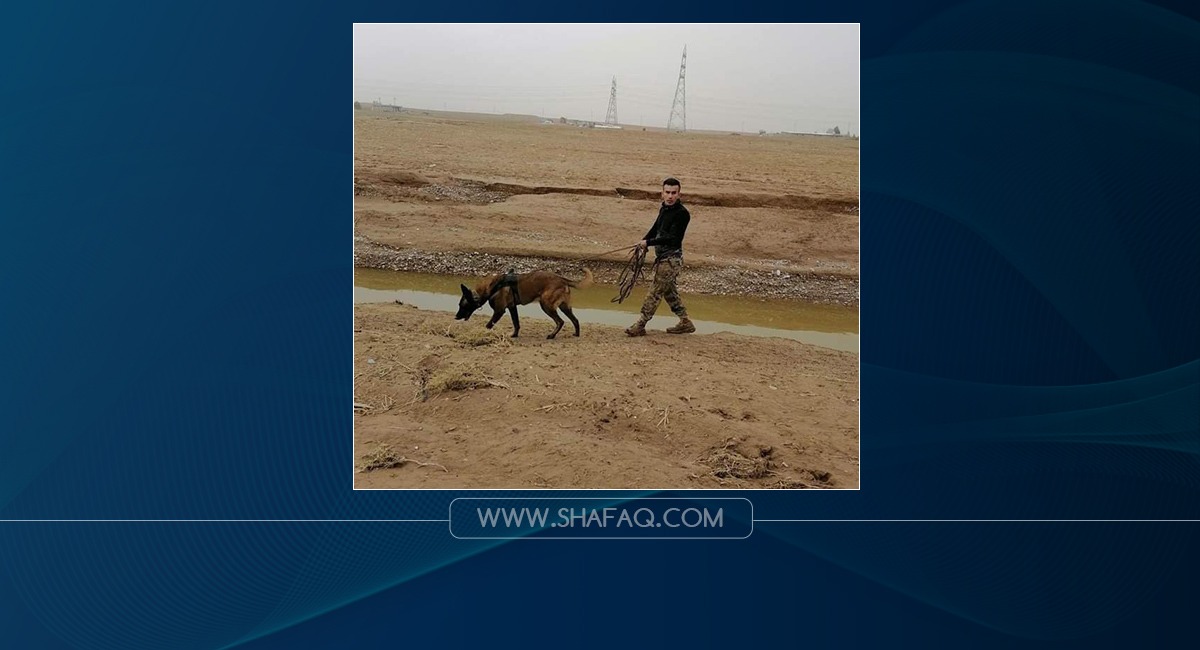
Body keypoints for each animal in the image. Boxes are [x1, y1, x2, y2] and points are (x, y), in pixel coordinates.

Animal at [456, 269, 592, 340]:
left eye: (463, 306)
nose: (456, 317)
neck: (491, 287)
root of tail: (562, 279)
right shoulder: (512, 308)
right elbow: (516, 323)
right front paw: (515, 335)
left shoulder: (499, 311)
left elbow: (488, 325)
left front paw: (481, 334)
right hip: (564, 307)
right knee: (575, 320)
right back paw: (576, 334)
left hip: (546, 305)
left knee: (560, 321)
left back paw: (552, 335)